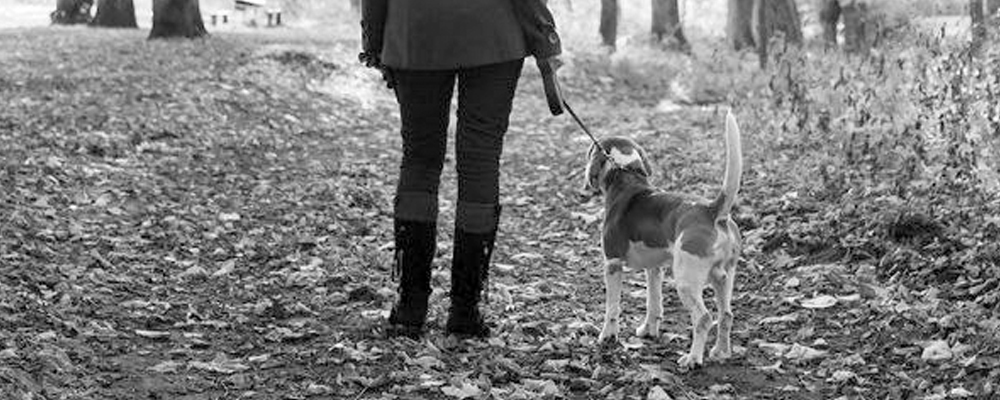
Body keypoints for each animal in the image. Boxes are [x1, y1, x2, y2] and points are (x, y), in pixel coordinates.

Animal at [584, 111, 744, 368]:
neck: (626, 175)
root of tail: (713, 212)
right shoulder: (654, 267)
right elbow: (653, 303)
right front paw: (649, 331)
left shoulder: (613, 264)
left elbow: (612, 309)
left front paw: (607, 337)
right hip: (724, 277)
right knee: (726, 315)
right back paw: (721, 352)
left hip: (686, 280)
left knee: (704, 318)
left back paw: (693, 359)